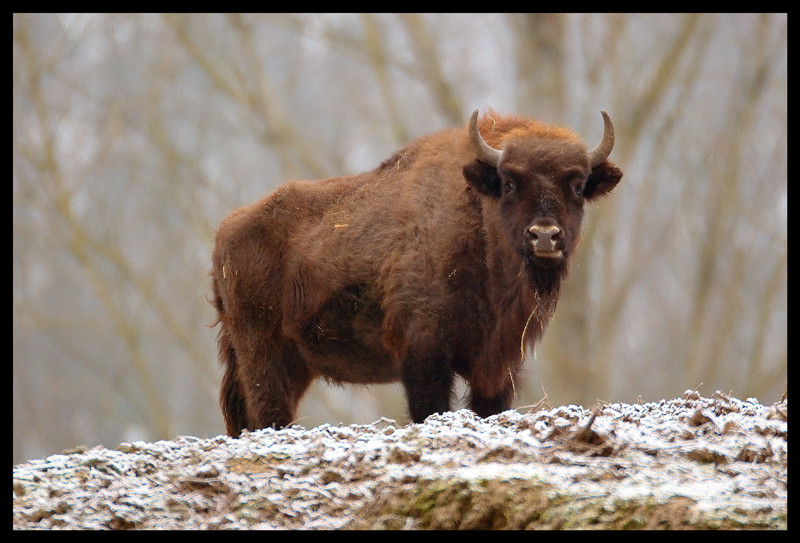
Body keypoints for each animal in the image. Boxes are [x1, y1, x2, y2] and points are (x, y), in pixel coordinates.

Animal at [212, 108, 624, 436]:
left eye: (577, 185)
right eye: (509, 183)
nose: (544, 236)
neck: (479, 221)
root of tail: (224, 236)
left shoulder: (497, 366)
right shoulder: (425, 354)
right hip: (265, 359)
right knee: (267, 414)